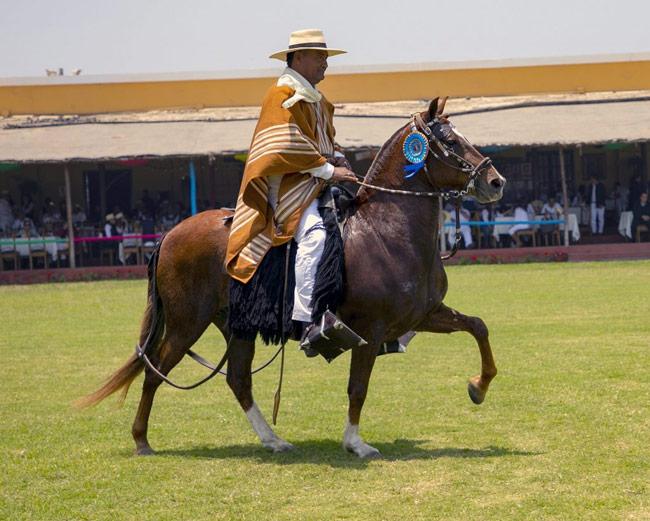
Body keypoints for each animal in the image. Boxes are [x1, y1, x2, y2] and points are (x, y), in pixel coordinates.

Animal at [78, 97, 506, 458]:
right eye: (449, 140)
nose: (496, 182)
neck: (386, 232)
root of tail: (169, 234)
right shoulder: (369, 329)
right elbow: (358, 387)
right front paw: (356, 443)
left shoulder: (424, 314)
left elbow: (478, 326)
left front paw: (478, 387)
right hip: (187, 324)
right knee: (155, 371)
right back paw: (141, 440)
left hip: (235, 326)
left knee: (238, 379)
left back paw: (274, 440)